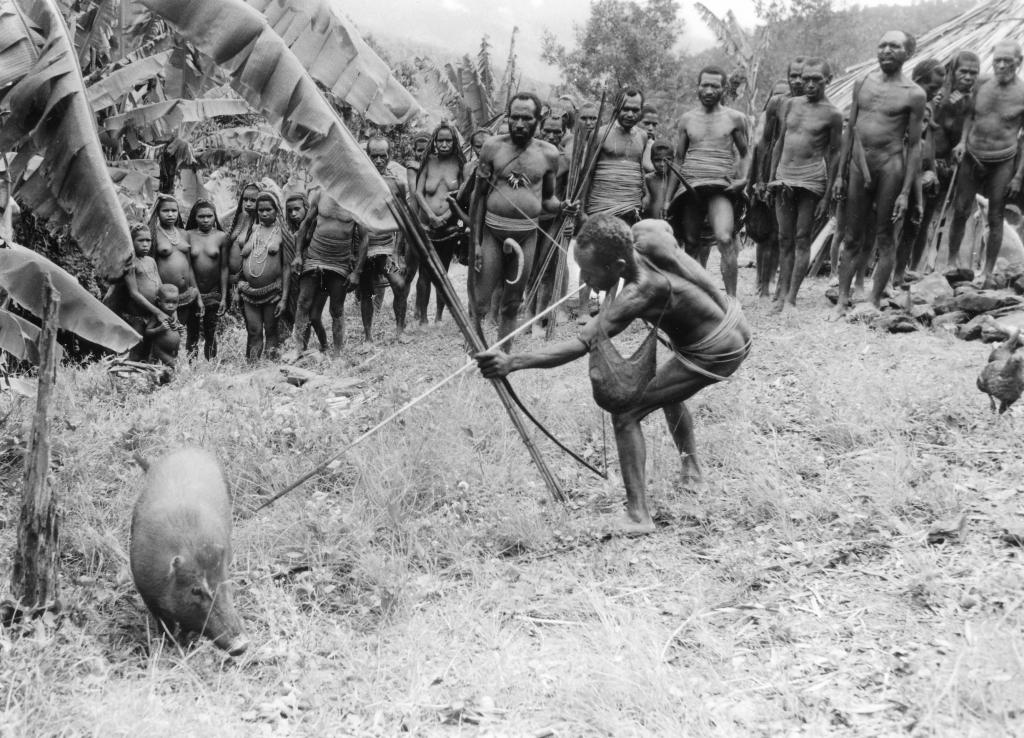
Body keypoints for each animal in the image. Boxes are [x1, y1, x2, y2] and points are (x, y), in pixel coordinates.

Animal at [129, 446, 248, 655]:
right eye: (195, 590)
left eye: (225, 581)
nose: (242, 644)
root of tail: (189, 448)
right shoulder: (145, 590)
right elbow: (164, 624)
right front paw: (168, 645)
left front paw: (186, 644)